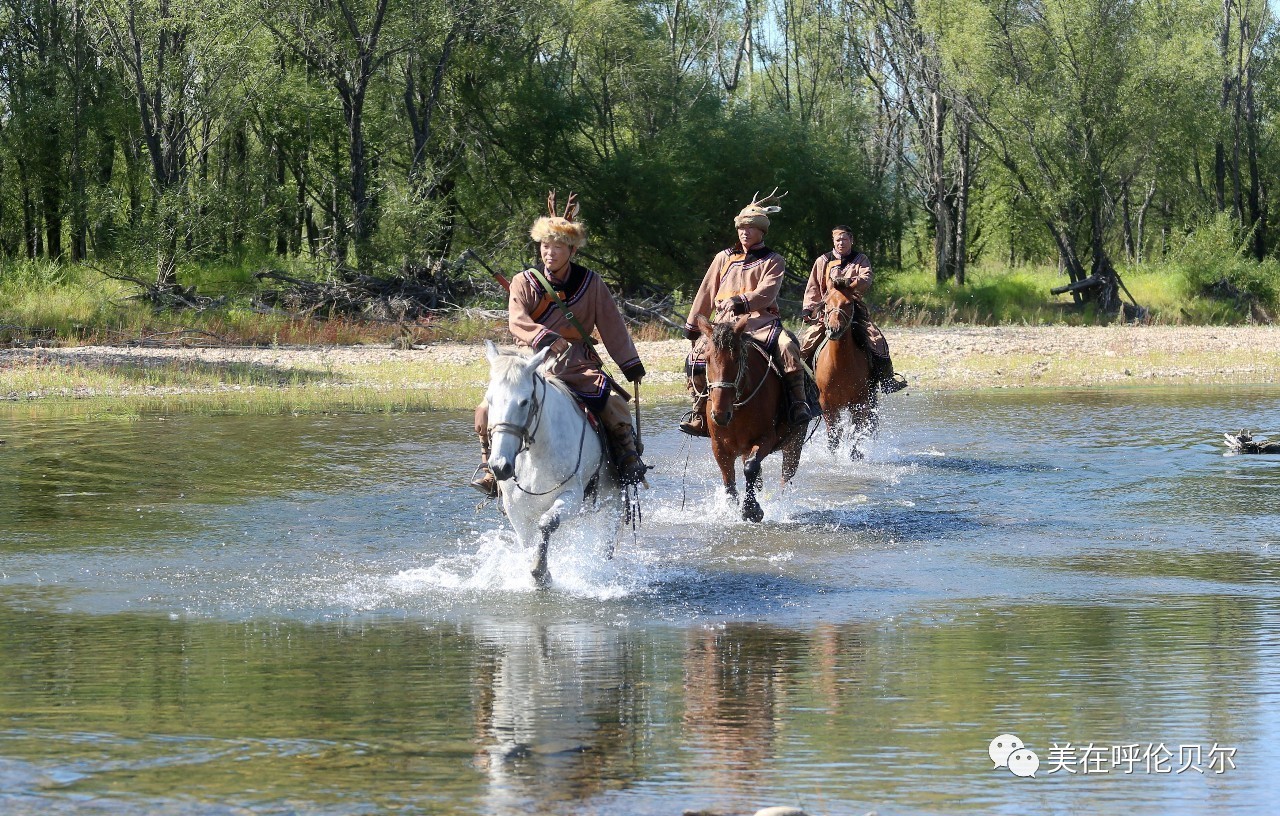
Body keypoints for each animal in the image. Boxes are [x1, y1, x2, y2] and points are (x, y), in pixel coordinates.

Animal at [481, 340, 622, 588]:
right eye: (489, 399)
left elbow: (547, 523)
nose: (499, 466)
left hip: (612, 500)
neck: (536, 457)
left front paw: (541, 571)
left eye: (524, 401)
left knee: (607, 540)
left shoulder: (572, 496)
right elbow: (527, 541)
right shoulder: (515, 508)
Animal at [696, 313, 803, 524]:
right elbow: (728, 479)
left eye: (737, 359)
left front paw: (751, 510)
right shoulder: (719, 446)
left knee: (785, 476)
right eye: (707, 358)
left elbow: (751, 468)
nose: (720, 414)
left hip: (795, 442)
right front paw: (730, 510)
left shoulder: (766, 438)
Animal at [808, 280, 880, 460]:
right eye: (826, 303)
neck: (840, 366)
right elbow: (834, 437)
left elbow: (856, 433)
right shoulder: (827, 404)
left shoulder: (859, 402)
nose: (834, 329)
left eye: (848, 304)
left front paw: (855, 456)